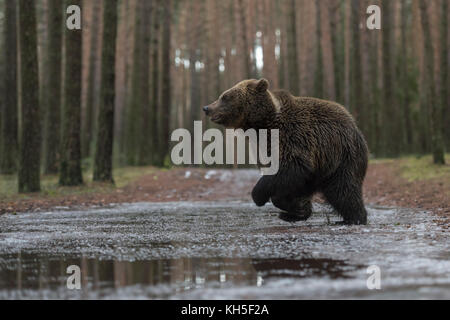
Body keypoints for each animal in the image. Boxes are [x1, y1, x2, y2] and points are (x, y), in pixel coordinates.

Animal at [204, 79, 370, 225]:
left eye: (225, 96)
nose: (207, 108)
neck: (261, 125)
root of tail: (356, 127)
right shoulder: (264, 148)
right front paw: (297, 208)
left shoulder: (293, 137)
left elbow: (291, 166)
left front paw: (259, 195)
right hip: (321, 168)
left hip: (340, 157)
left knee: (343, 190)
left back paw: (353, 218)